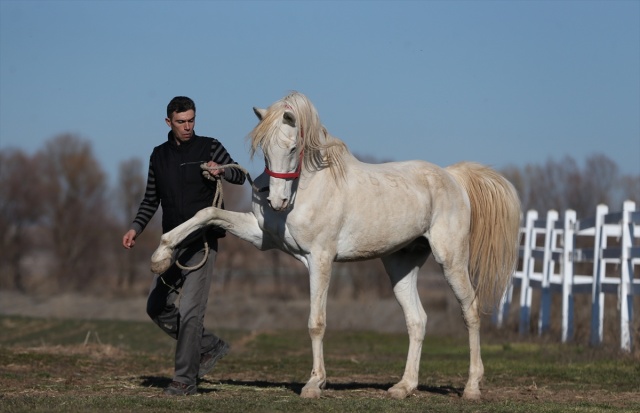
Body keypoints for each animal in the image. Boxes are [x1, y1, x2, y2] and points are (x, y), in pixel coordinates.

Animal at [150, 91, 520, 400]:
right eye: (265, 150)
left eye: (293, 148)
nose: (277, 201)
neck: (309, 188)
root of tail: (451, 177)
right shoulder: (262, 237)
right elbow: (207, 212)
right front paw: (161, 255)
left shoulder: (320, 259)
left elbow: (316, 322)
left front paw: (314, 384)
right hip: (401, 265)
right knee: (417, 320)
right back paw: (403, 387)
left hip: (451, 259)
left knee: (470, 310)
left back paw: (471, 388)